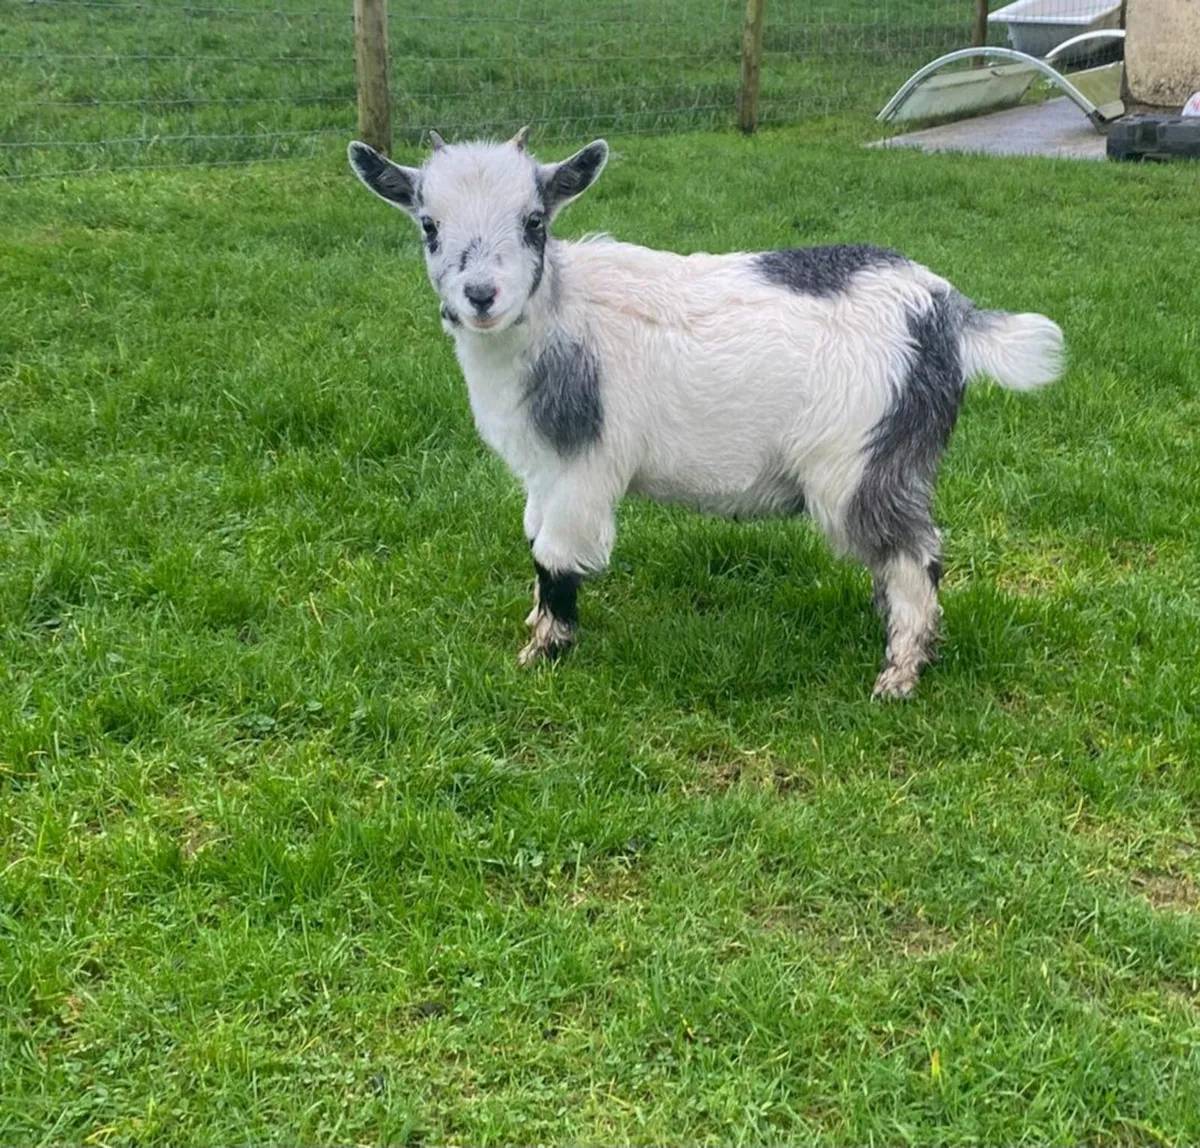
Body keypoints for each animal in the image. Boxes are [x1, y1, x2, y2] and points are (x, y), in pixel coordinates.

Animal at [348, 129, 1064, 698]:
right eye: (428, 226)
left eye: (534, 222)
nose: (481, 295)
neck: (557, 314)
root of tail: (946, 311)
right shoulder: (541, 471)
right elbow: (532, 540)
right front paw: (535, 624)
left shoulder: (582, 468)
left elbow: (554, 556)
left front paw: (543, 651)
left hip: (863, 456)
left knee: (916, 554)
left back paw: (901, 672)